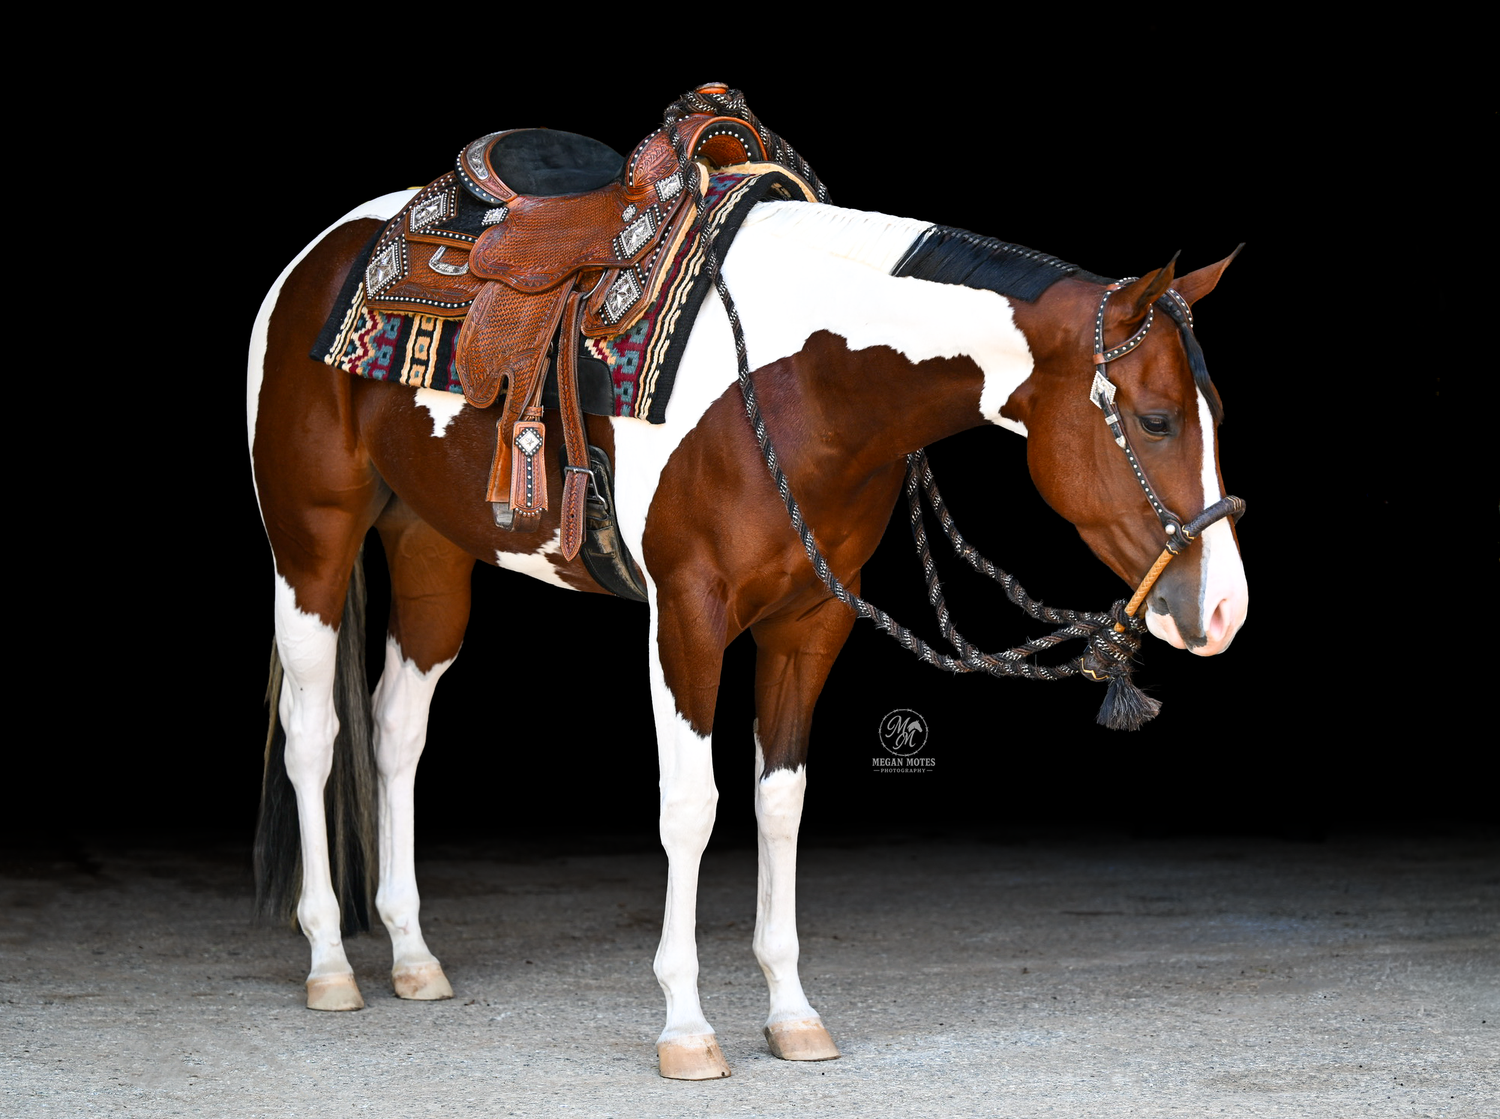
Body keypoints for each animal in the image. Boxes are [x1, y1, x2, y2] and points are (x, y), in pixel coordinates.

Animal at [248, 148, 1248, 1079]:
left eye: (1211, 414)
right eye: (1156, 420)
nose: (1225, 609)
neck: (804, 383)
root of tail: (315, 256)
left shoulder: (810, 623)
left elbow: (780, 802)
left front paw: (793, 1012)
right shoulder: (687, 614)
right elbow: (693, 804)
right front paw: (687, 1028)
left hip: (430, 552)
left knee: (395, 730)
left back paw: (413, 956)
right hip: (312, 548)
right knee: (313, 734)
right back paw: (331, 962)